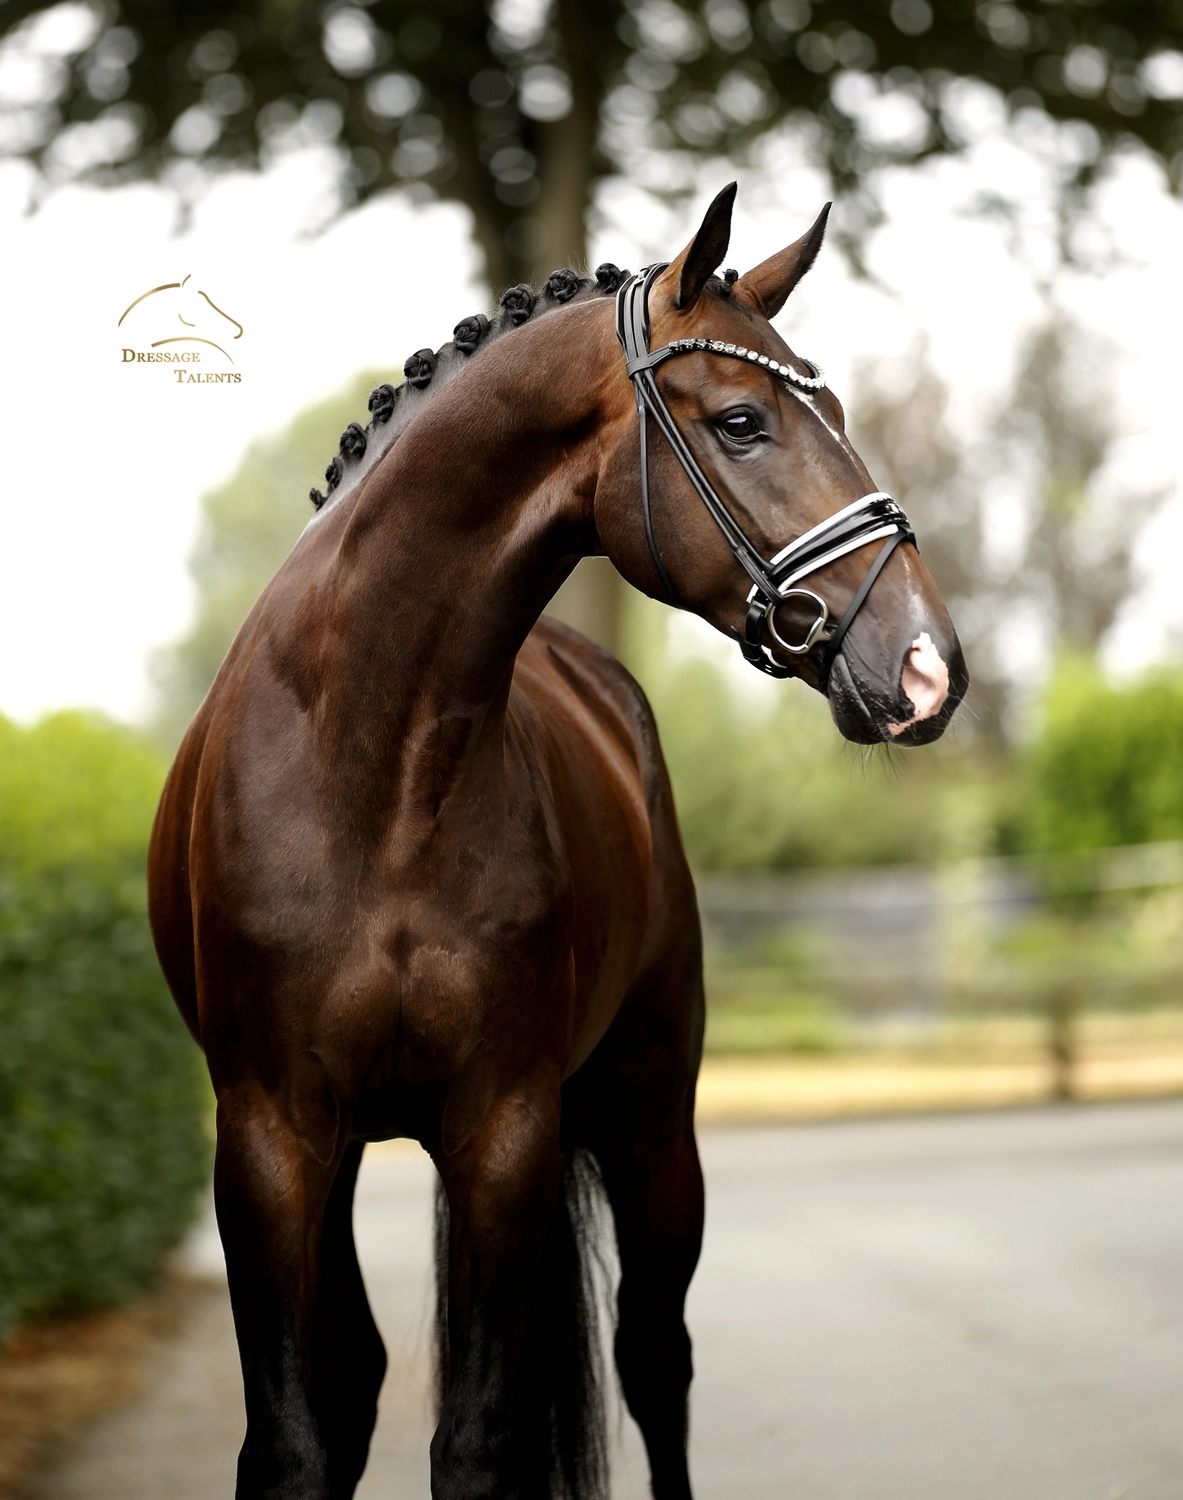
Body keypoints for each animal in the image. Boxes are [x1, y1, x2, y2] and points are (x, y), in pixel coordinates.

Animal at [148, 183, 967, 1500]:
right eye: (742, 422)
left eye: (833, 412)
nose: (931, 666)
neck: (376, 775)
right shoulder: (269, 1141)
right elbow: (292, 1437)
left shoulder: (504, 1130)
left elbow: (482, 1440)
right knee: (364, 1376)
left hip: (648, 1116)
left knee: (654, 1360)